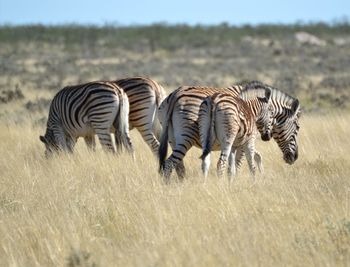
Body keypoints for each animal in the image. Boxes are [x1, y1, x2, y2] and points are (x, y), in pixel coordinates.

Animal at [159, 81, 300, 182]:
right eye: (297, 127)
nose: (294, 158)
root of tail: (176, 94)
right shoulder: (243, 141)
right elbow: (239, 163)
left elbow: (255, 157)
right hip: (187, 135)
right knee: (173, 162)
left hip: (173, 138)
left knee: (178, 165)